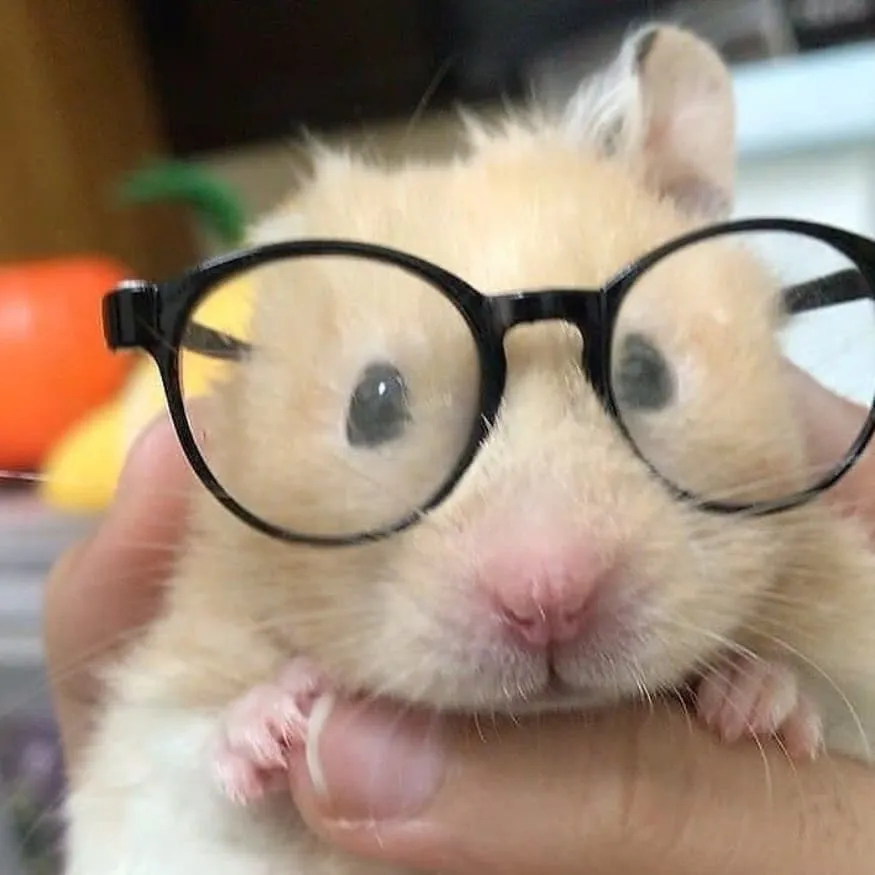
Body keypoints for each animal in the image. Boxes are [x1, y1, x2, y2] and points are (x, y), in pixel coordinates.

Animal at [63, 23, 875, 875]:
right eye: (372, 403)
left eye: (643, 371)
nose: (548, 600)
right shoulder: (146, 744)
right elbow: (187, 755)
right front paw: (279, 717)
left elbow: (830, 694)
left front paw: (760, 704)